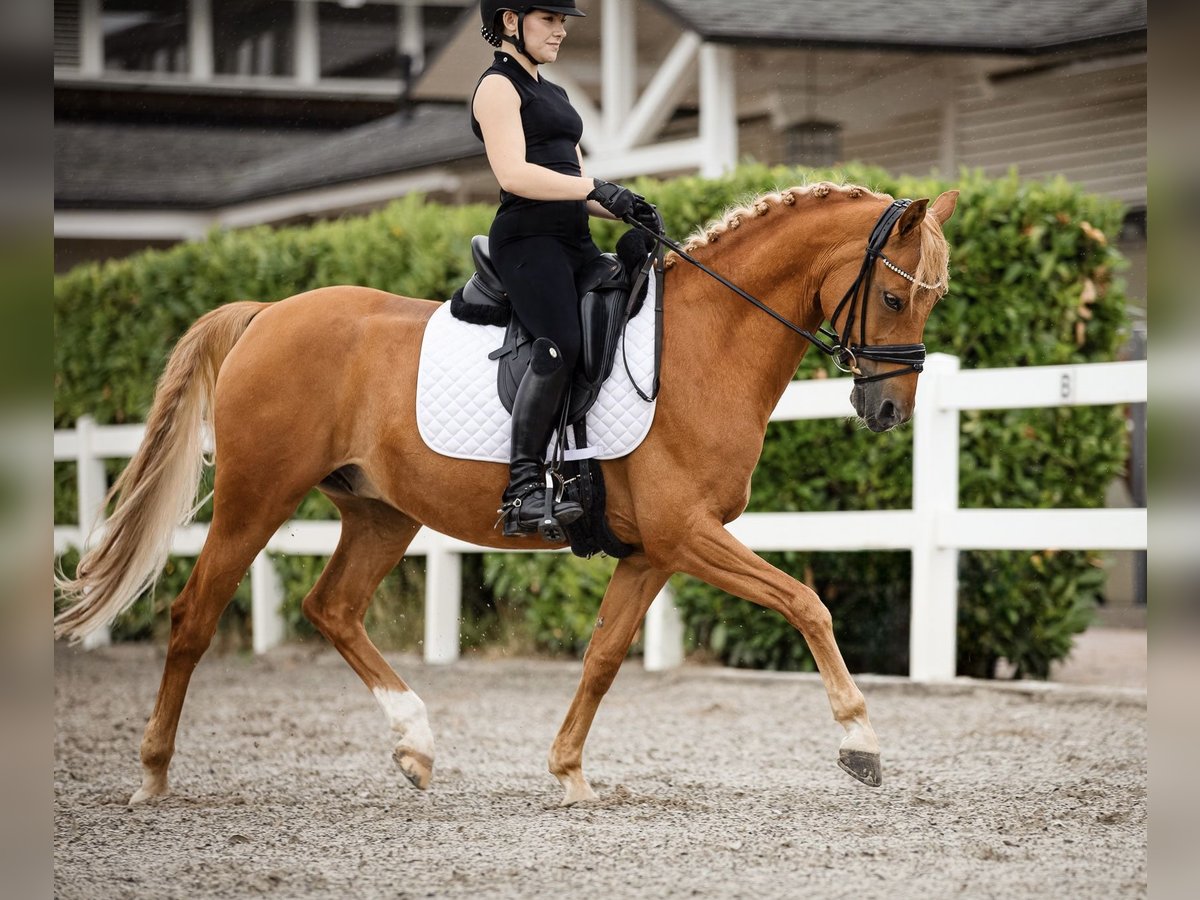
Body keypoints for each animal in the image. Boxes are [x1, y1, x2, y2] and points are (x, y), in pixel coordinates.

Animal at [56, 183, 960, 811]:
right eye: (892, 296)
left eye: (934, 299)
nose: (888, 410)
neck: (707, 342)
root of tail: (268, 312)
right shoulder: (689, 534)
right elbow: (807, 603)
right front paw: (861, 743)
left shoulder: (653, 552)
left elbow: (602, 657)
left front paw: (568, 775)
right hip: (256, 498)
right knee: (194, 617)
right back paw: (152, 776)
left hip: (381, 513)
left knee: (331, 607)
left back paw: (415, 745)